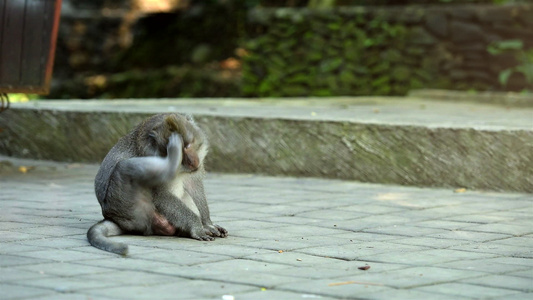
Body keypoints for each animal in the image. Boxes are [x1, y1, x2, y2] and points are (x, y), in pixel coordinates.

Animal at [87, 113, 227, 255]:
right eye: (183, 154)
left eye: (188, 145)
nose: (192, 162)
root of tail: (115, 220)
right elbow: (162, 196)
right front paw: (197, 227)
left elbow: (194, 186)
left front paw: (207, 223)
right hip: (136, 213)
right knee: (124, 167)